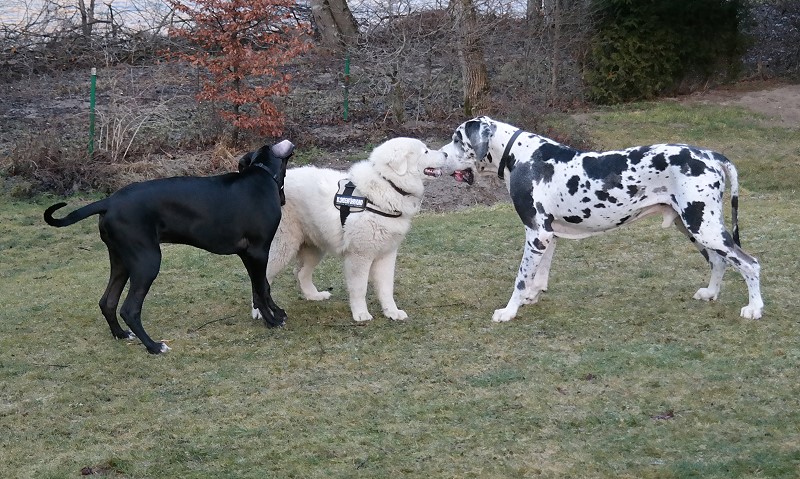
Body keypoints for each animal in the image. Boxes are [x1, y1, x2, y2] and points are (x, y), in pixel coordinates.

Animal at [43, 140, 294, 354]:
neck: (262, 173)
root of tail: (108, 202)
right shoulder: (258, 252)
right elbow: (261, 288)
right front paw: (272, 321)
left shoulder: (248, 255)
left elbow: (262, 287)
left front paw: (276, 313)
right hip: (147, 261)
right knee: (129, 309)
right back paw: (154, 346)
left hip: (121, 260)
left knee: (107, 301)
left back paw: (121, 334)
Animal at [265, 137, 474, 322]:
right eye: (425, 151)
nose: (446, 154)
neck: (388, 185)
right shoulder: (360, 256)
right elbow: (360, 288)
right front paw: (360, 314)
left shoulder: (387, 255)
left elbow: (386, 288)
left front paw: (392, 312)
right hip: (282, 249)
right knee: (264, 278)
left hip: (314, 247)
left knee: (301, 273)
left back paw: (313, 296)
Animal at [440, 116, 763, 322]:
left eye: (457, 139)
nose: (440, 154)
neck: (520, 155)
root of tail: (712, 155)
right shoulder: (546, 235)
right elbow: (538, 273)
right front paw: (533, 296)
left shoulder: (536, 233)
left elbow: (521, 278)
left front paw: (509, 311)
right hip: (693, 226)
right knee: (719, 260)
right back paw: (711, 293)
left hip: (703, 226)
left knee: (749, 263)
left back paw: (754, 309)